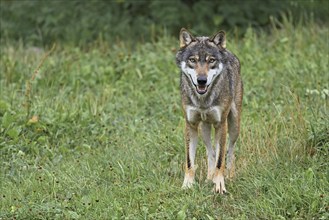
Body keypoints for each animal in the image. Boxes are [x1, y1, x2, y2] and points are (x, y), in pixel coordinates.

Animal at [176, 27, 242, 194]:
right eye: (193, 60)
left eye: (211, 60)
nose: (201, 80)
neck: (203, 101)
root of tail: (229, 52)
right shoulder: (190, 125)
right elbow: (190, 161)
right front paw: (188, 185)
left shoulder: (221, 125)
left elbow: (220, 160)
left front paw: (219, 185)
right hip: (204, 129)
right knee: (210, 151)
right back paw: (209, 177)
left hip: (234, 126)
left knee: (230, 151)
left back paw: (229, 176)